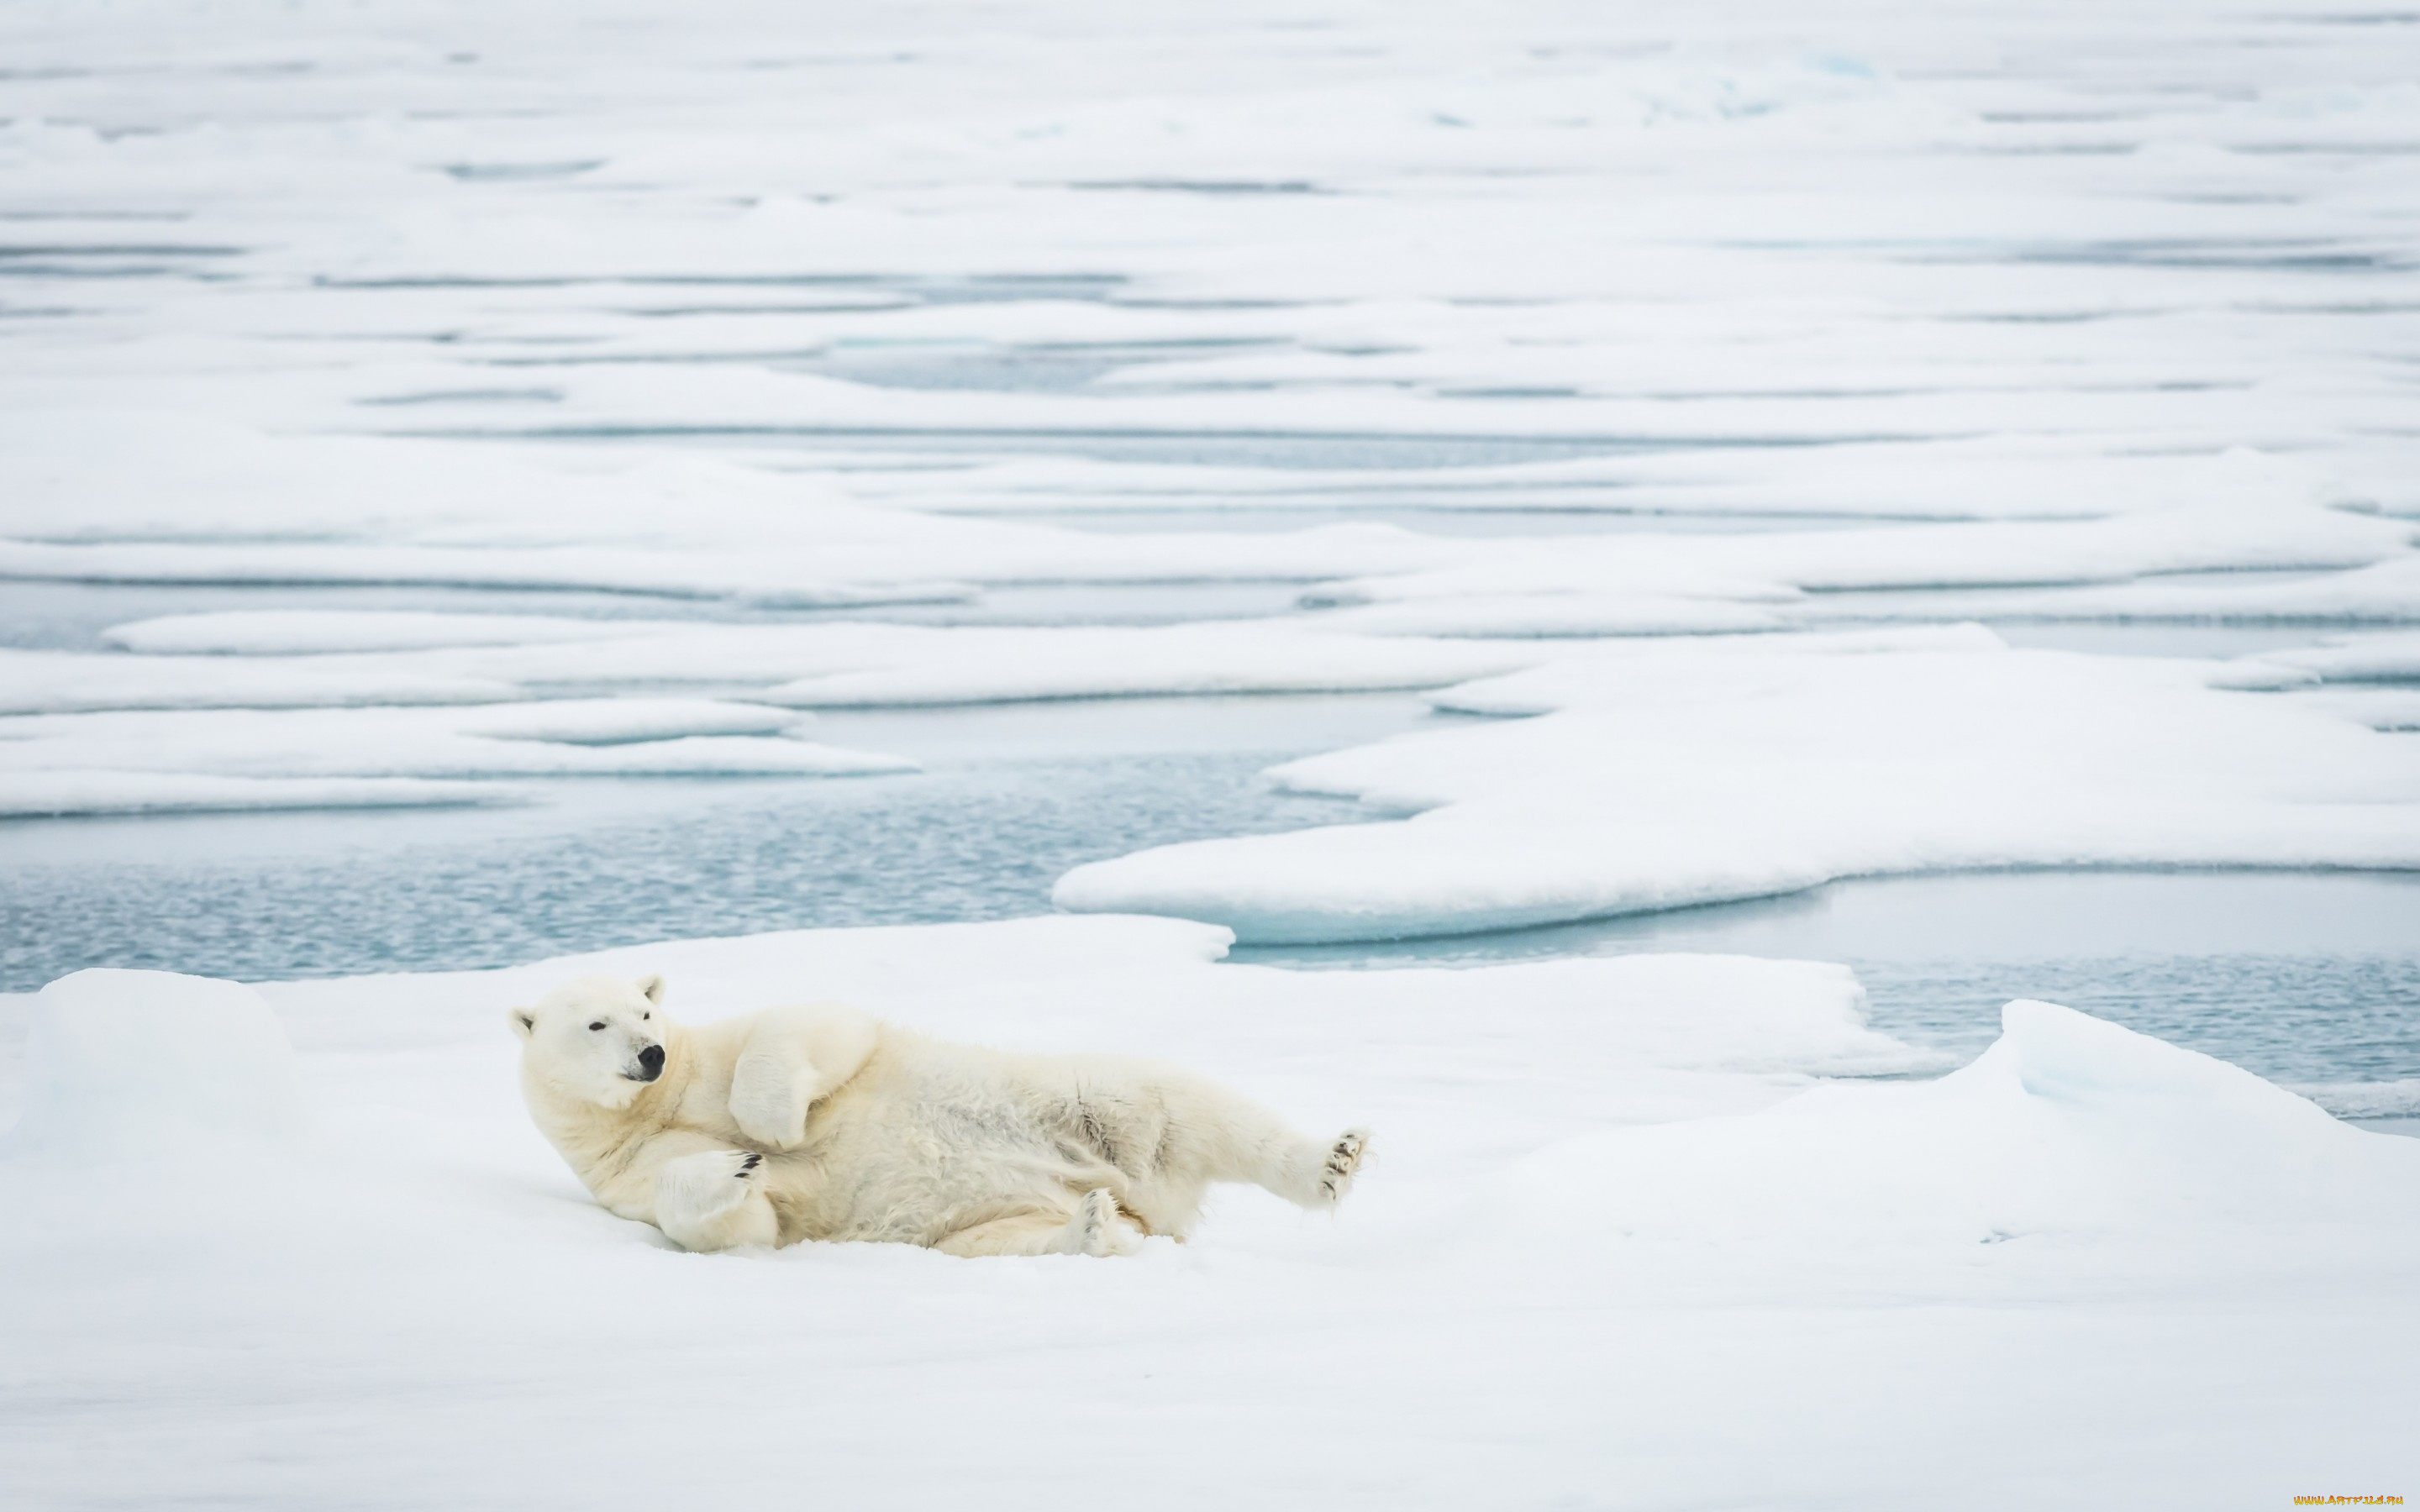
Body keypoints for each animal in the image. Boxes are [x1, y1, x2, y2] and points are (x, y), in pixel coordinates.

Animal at [510, 972, 1374, 1257]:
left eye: (645, 1013)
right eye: (597, 1024)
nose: (649, 1056)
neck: (653, 1106)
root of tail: (1155, 1207)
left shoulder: (720, 1049)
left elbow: (815, 1028)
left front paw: (769, 1132)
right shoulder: (621, 1173)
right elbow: (731, 1221)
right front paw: (738, 1166)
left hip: (1087, 1112)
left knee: (1179, 1107)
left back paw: (1331, 1161)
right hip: (981, 1220)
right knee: (1005, 1242)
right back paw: (1092, 1228)